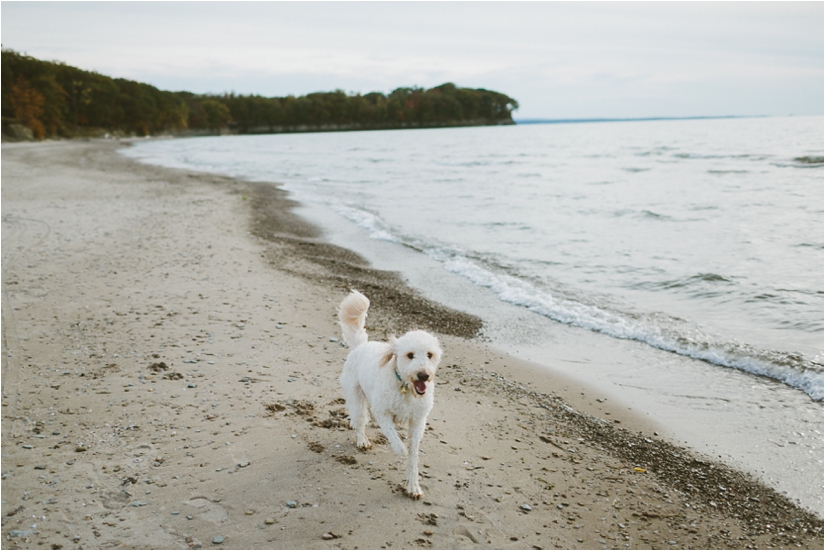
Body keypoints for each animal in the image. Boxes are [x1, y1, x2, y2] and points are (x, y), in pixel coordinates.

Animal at [336, 292, 440, 498]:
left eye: (430, 354)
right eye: (410, 355)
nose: (423, 375)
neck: (405, 387)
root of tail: (360, 346)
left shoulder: (418, 421)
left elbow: (414, 455)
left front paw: (413, 485)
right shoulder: (382, 412)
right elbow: (392, 433)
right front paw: (400, 450)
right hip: (356, 397)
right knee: (360, 420)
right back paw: (362, 440)